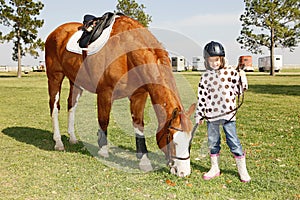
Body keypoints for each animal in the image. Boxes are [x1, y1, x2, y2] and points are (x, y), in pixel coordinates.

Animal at [44, 15, 195, 177]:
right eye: (173, 140)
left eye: (189, 142)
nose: (184, 172)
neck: (127, 52)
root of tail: (55, 32)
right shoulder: (105, 92)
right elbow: (104, 121)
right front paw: (103, 150)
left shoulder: (139, 95)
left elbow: (138, 126)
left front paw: (144, 161)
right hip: (55, 77)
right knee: (54, 108)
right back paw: (58, 142)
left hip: (75, 82)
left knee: (71, 106)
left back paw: (72, 138)